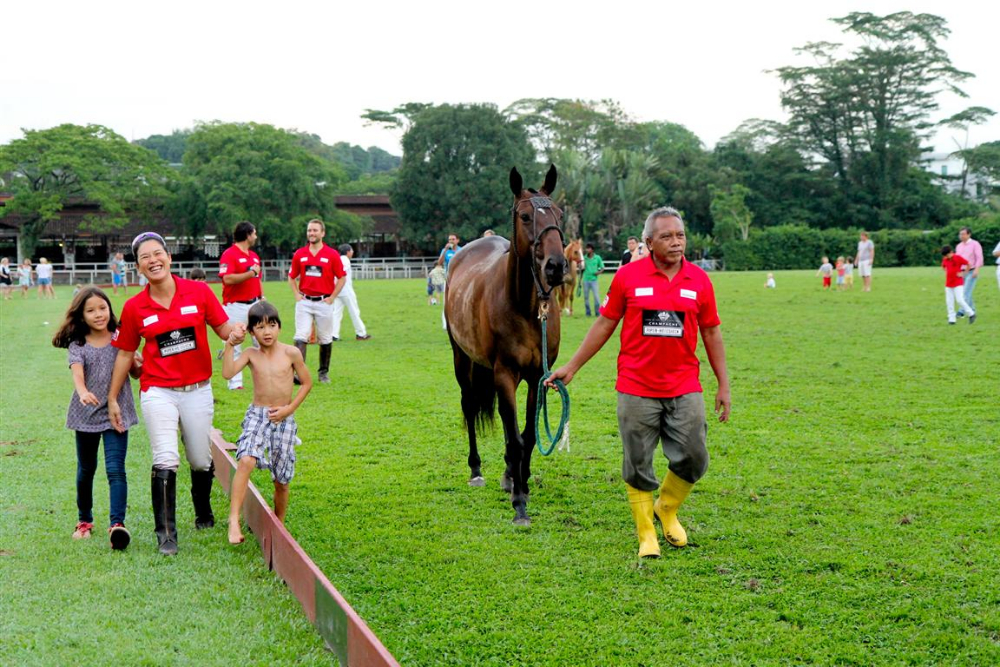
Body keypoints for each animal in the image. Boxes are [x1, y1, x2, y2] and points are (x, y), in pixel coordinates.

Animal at [445, 165, 568, 525]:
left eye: (559, 214)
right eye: (526, 216)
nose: (556, 266)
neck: (524, 306)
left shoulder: (537, 377)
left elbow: (526, 435)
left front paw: (519, 481)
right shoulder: (505, 373)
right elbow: (514, 436)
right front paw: (520, 503)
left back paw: (509, 474)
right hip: (462, 359)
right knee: (469, 405)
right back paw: (476, 470)